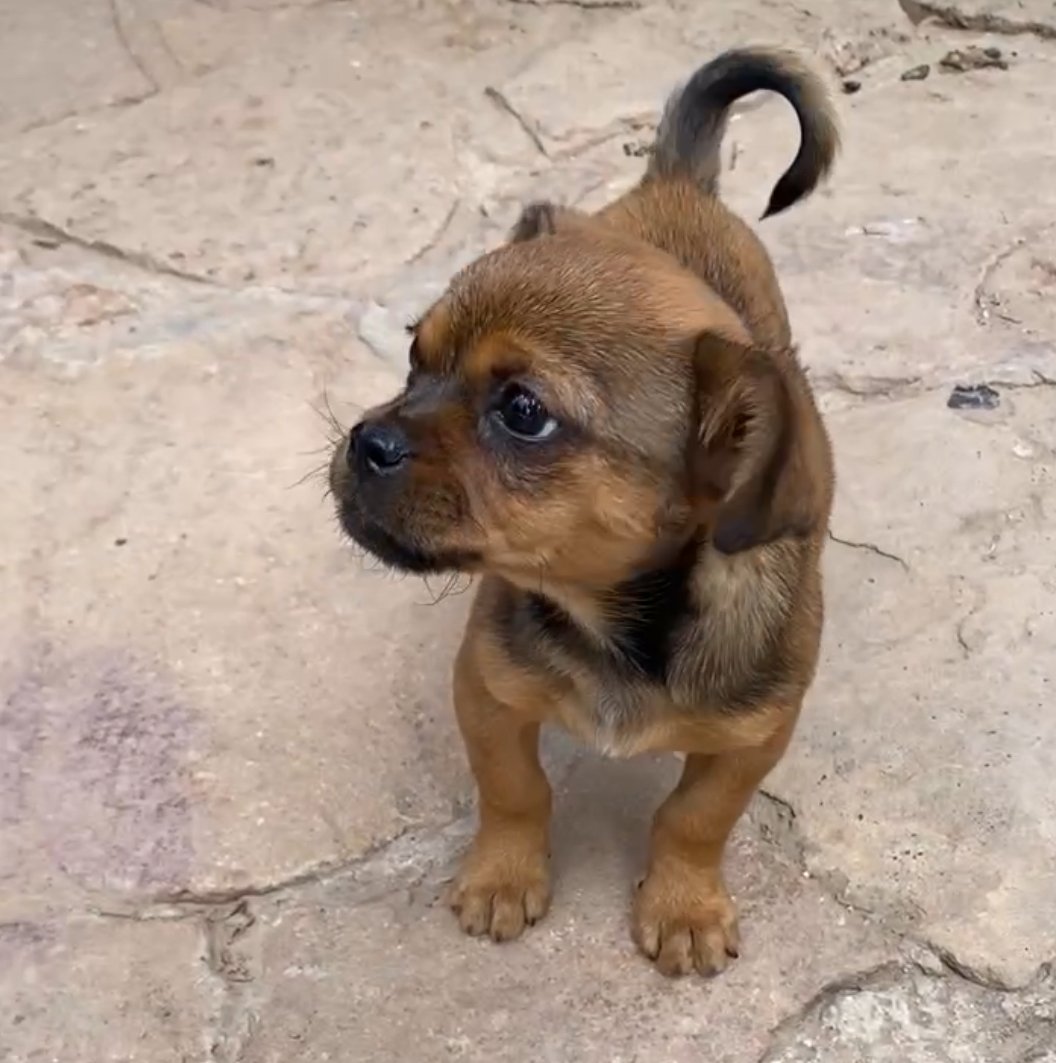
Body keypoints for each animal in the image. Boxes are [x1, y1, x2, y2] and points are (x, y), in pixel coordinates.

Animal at [329, 49, 842, 977]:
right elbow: (514, 790)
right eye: (415, 356)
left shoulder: (753, 738)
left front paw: (683, 905)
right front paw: (503, 876)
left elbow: (692, 818)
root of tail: (674, 180)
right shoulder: (487, 691)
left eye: (523, 411)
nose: (365, 440)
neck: (613, 617)